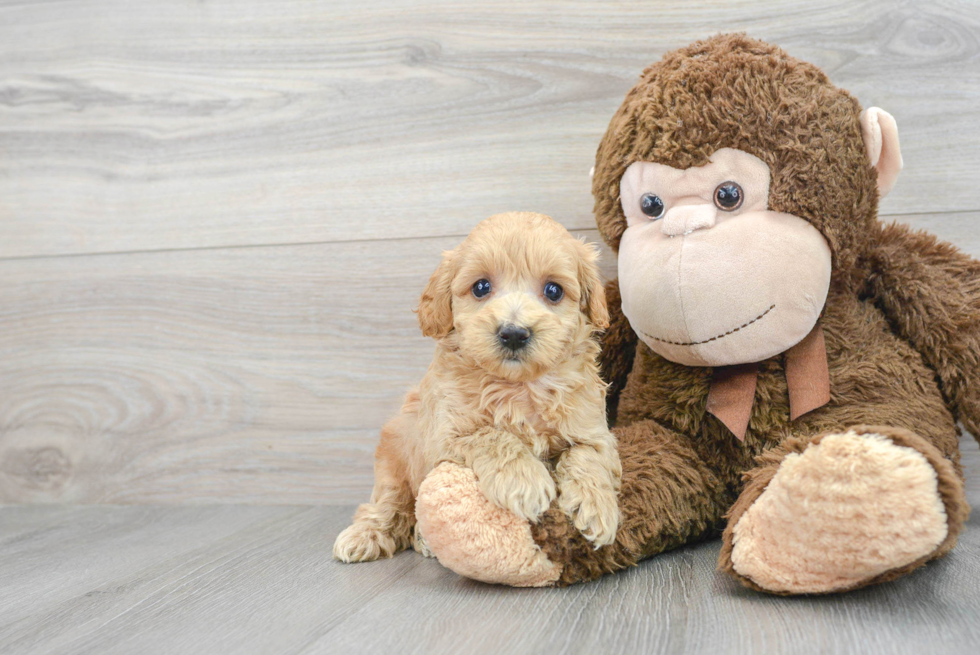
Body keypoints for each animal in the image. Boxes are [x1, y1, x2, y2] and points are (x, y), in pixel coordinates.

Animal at [334, 211, 620, 564]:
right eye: (481, 287)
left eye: (553, 291)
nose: (514, 333)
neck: (519, 386)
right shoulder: (445, 436)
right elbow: (493, 436)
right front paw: (524, 481)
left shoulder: (594, 432)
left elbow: (587, 457)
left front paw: (598, 508)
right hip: (394, 459)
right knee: (389, 505)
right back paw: (367, 535)